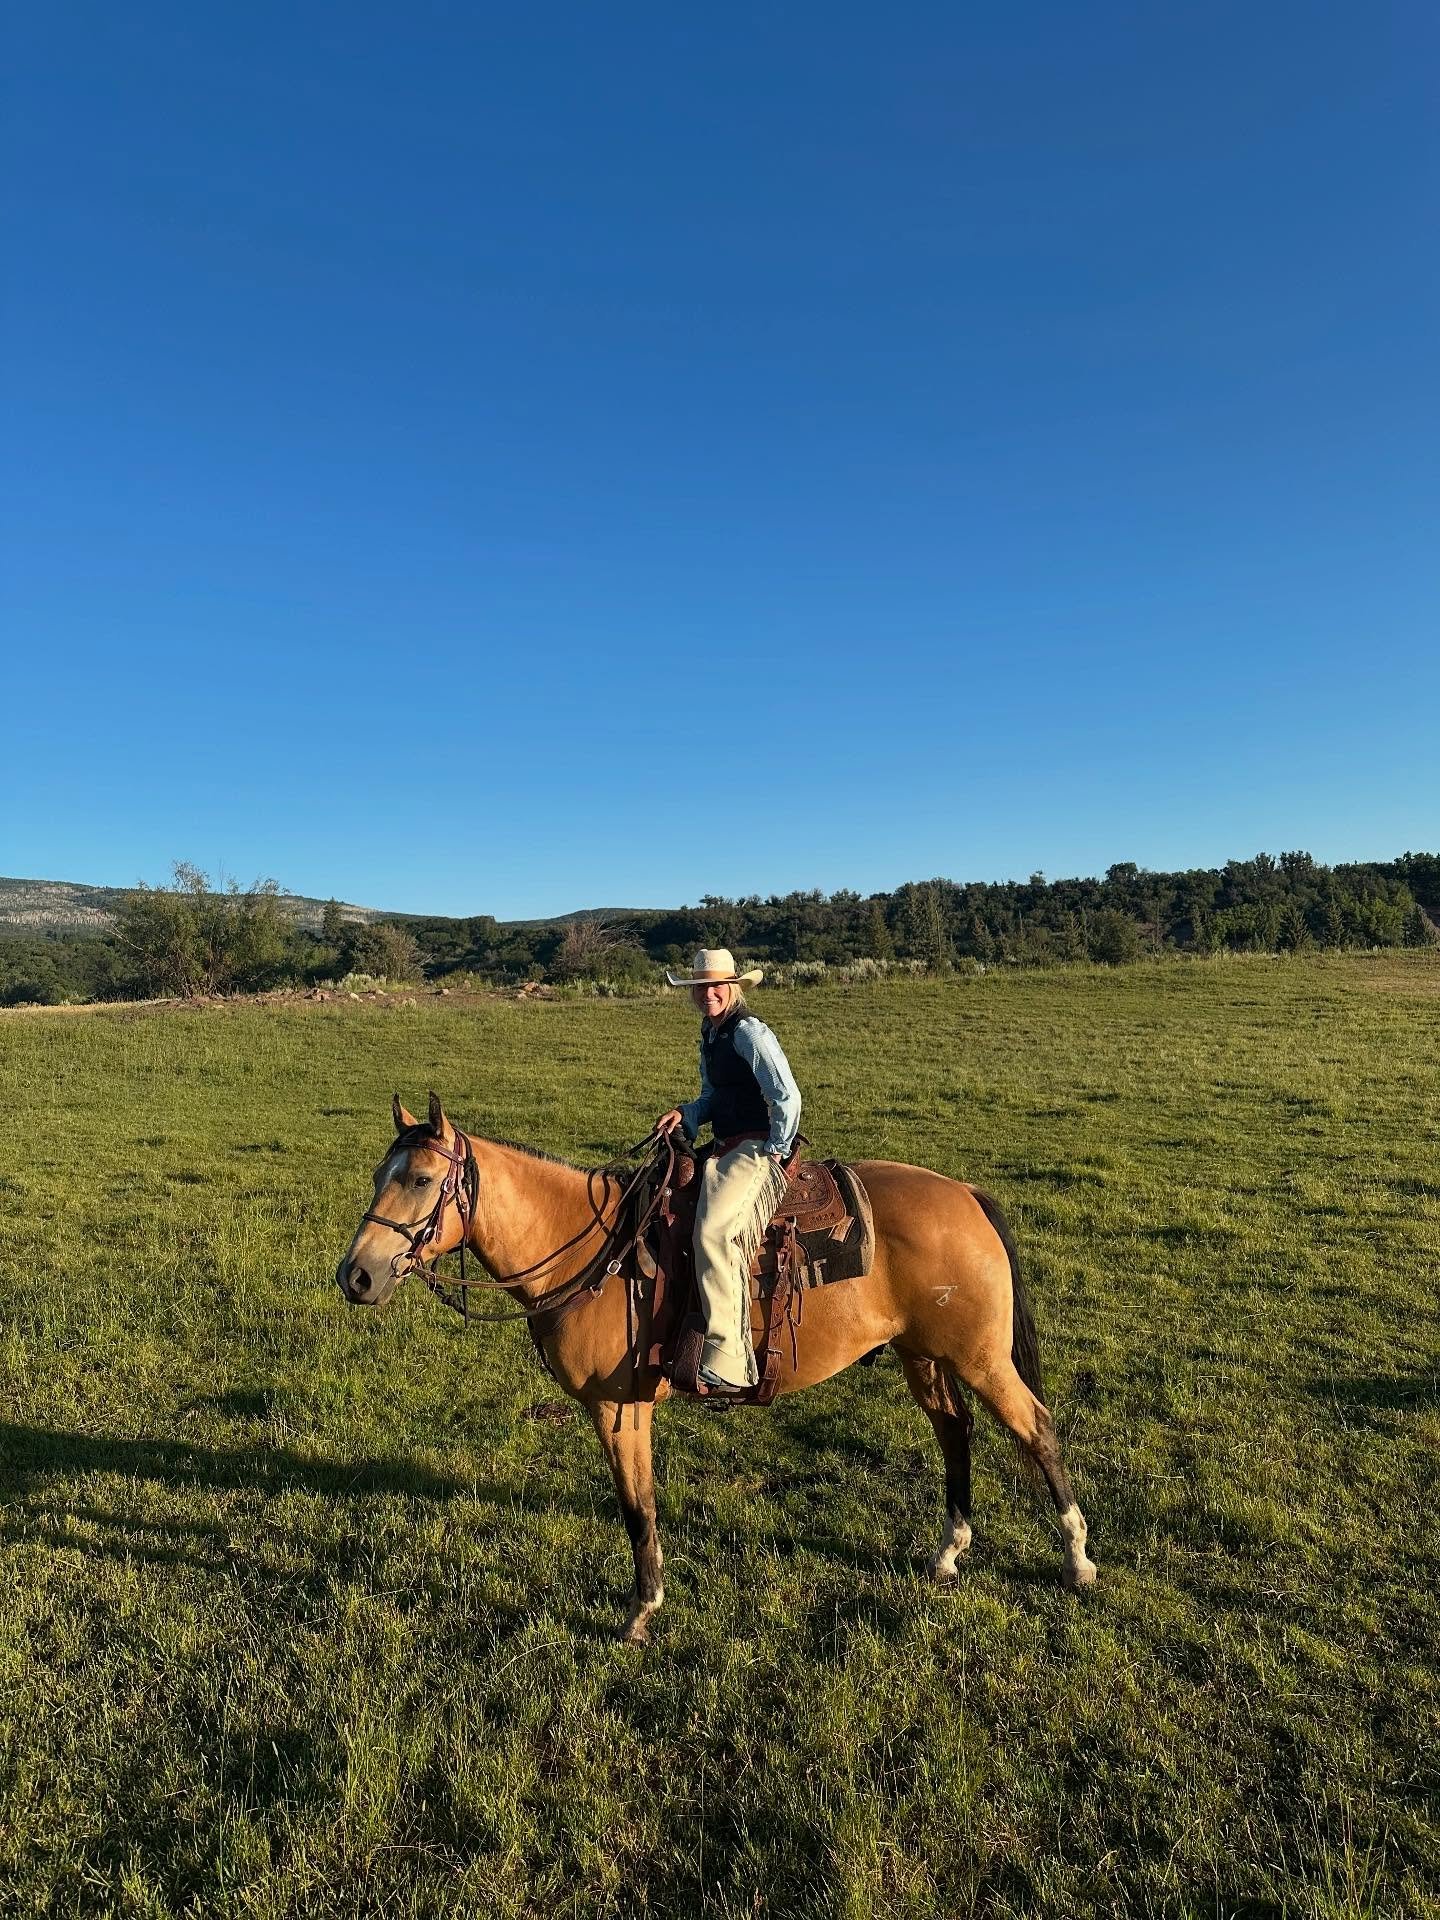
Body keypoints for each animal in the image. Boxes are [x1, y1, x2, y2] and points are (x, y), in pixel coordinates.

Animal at [336, 1093, 1097, 1644]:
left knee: (1036, 1428)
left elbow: (637, 1507)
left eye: (422, 1179)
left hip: (979, 1356)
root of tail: (965, 1193)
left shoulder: (619, 1409)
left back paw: (1077, 1558)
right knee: (955, 1432)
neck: (589, 1250)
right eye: (377, 1176)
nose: (356, 1276)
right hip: (925, 1356)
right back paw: (949, 1552)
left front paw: (641, 1613)